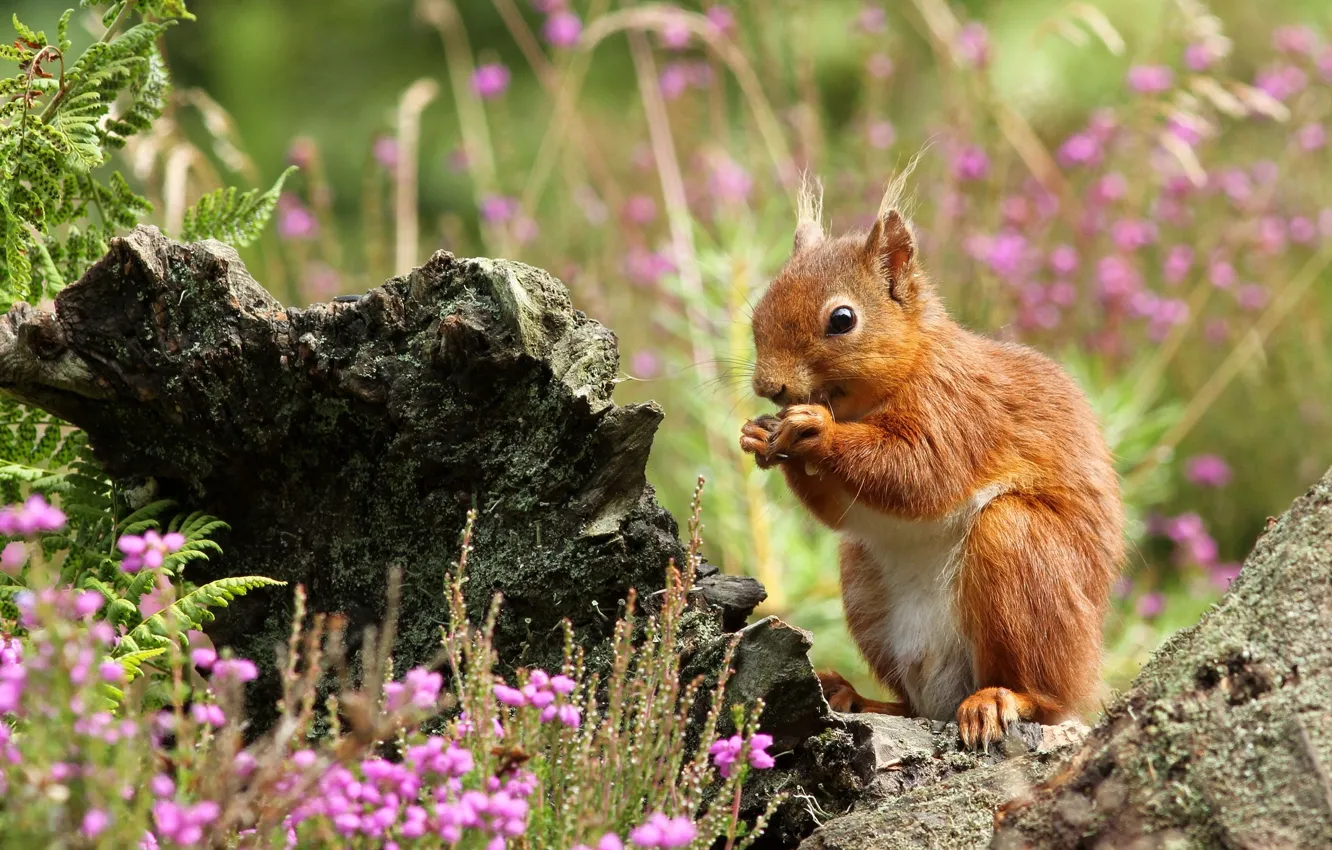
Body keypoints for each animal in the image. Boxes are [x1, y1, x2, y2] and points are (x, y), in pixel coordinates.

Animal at [740, 175, 1124, 751]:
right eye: (759, 309)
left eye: (842, 319)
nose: (770, 386)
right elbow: (843, 510)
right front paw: (760, 433)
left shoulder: (960, 409)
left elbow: (918, 472)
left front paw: (816, 430)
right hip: (864, 587)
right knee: (910, 704)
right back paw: (857, 697)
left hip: (1019, 549)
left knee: (1046, 699)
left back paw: (1000, 699)